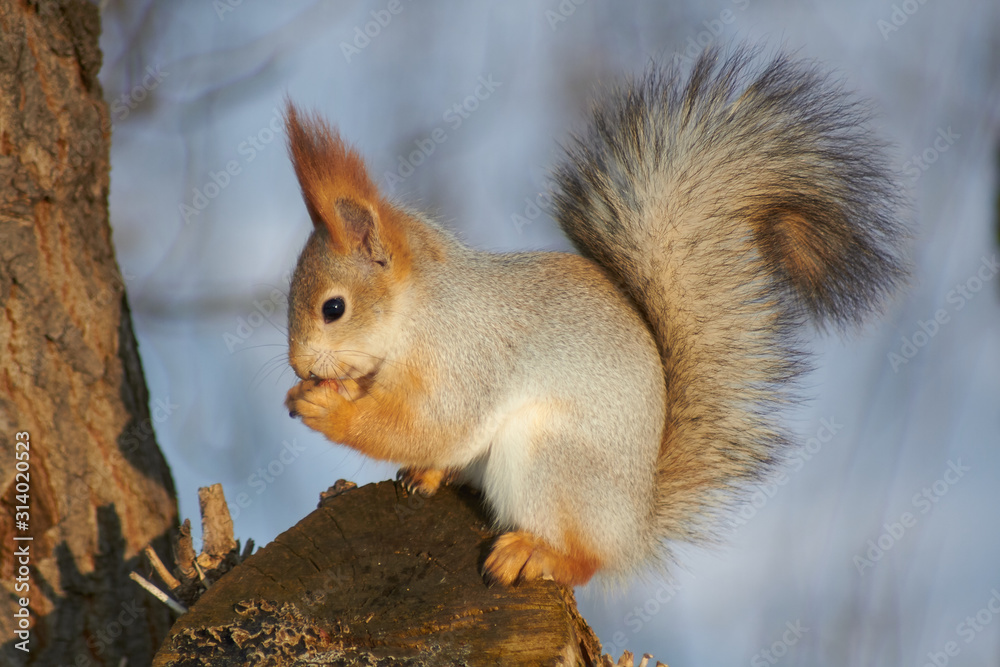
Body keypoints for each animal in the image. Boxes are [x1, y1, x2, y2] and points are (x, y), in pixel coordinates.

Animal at [282, 47, 907, 587]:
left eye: (334, 308)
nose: (298, 365)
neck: (420, 310)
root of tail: (633, 527)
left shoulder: (466, 356)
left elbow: (430, 423)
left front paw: (326, 409)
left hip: (548, 457)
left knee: (584, 560)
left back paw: (534, 553)